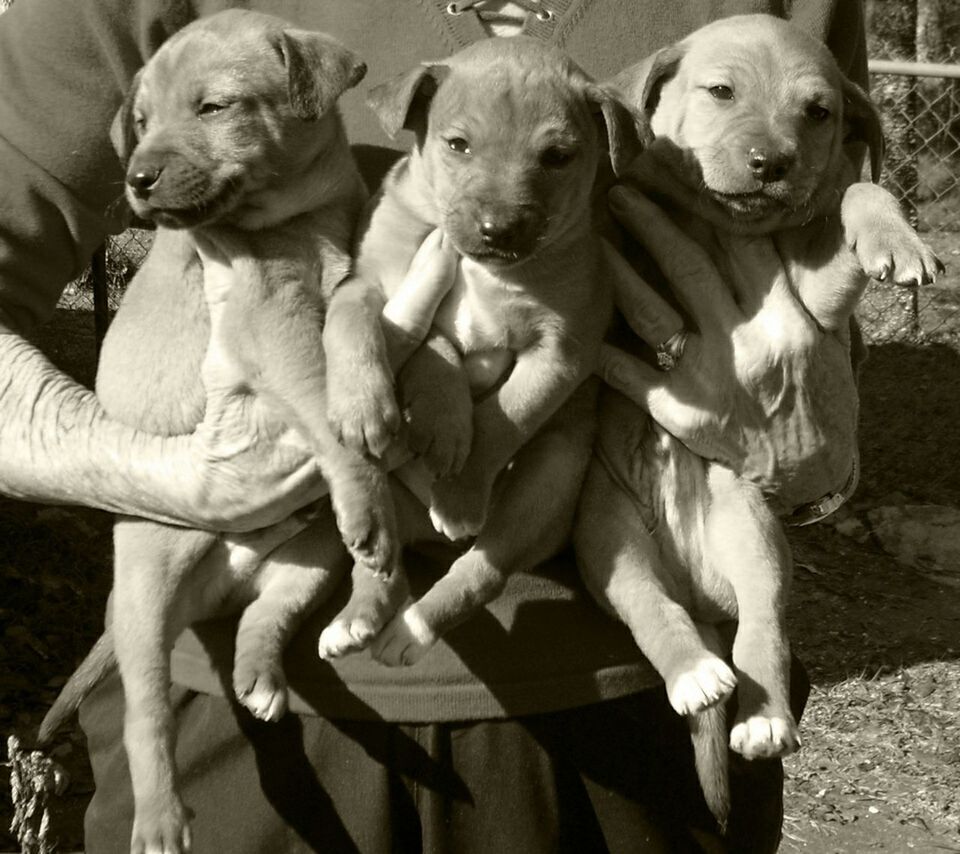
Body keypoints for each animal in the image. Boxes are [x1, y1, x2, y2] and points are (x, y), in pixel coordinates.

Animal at [33, 10, 402, 852]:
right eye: (140, 122)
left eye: (214, 108)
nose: (137, 178)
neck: (297, 222)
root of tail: (219, 585)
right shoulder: (272, 327)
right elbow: (320, 402)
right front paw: (362, 465)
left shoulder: (347, 278)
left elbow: (355, 314)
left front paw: (367, 399)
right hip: (143, 595)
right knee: (146, 719)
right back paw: (159, 819)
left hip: (311, 554)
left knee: (269, 616)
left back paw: (287, 660)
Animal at [316, 38, 644, 668]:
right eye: (457, 144)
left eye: (558, 156)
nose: (499, 228)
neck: (482, 269)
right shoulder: (367, 283)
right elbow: (379, 332)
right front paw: (369, 408)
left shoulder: (563, 349)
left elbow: (502, 420)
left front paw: (460, 487)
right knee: (381, 559)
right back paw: (358, 612)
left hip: (549, 479)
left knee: (480, 572)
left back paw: (410, 627)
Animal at [572, 11, 940, 828]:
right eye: (720, 92)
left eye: (819, 112)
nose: (772, 163)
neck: (720, 223)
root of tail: (694, 583)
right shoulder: (627, 215)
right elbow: (606, 226)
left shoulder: (817, 291)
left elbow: (860, 188)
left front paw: (898, 242)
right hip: (607, 536)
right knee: (652, 612)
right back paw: (693, 674)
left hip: (749, 525)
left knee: (760, 633)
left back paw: (761, 717)